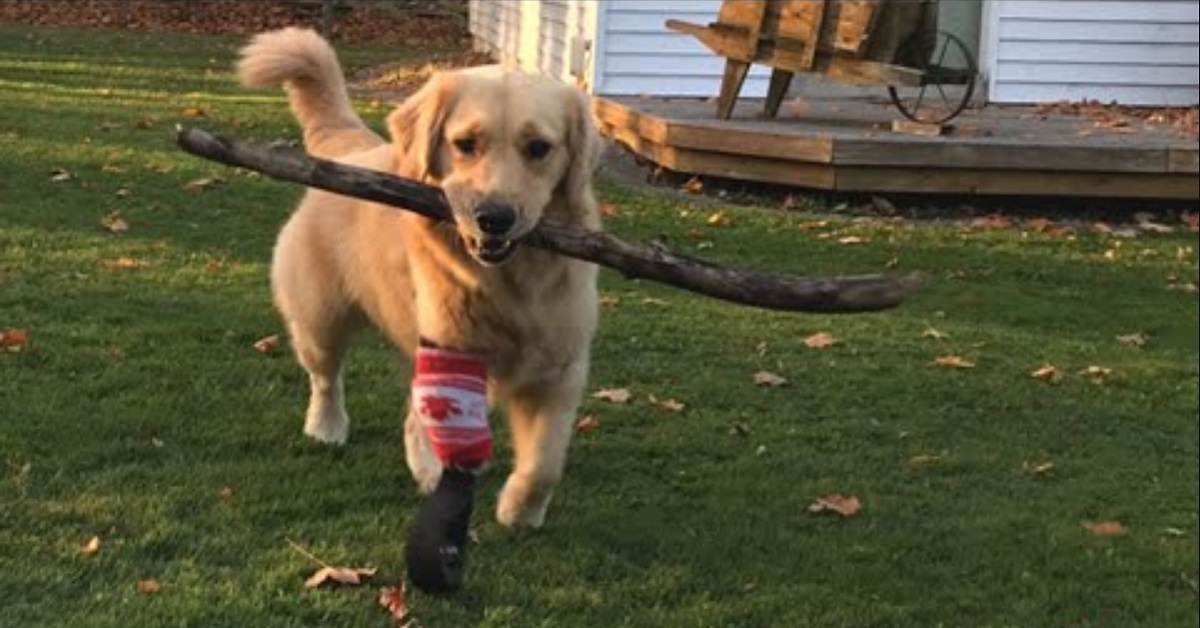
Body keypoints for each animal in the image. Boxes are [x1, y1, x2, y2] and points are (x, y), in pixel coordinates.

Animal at [237, 29, 604, 530]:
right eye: (465, 143)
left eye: (539, 148)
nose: (494, 218)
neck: (510, 282)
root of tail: (353, 148)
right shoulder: (448, 352)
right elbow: (429, 423)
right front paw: (436, 474)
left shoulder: (559, 369)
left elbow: (545, 463)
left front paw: (520, 510)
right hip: (320, 320)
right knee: (326, 378)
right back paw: (328, 427)